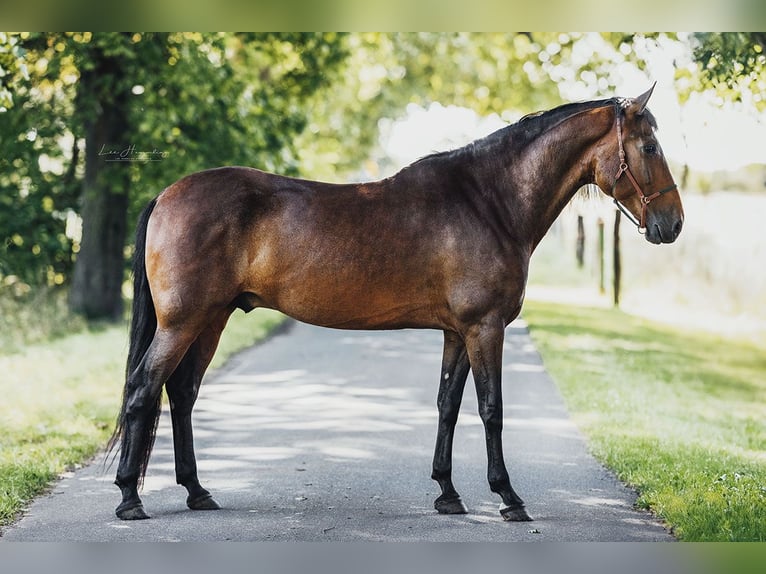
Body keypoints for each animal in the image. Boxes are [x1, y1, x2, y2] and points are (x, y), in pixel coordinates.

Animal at [106, 85, 684, 520]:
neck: (489, 201)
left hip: (211, 321)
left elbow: (447, 405)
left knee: (180, 393)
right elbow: (491, 409)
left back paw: (197, 491)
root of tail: (166, 194)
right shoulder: (485, 328)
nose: (673, 224)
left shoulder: (457, 331)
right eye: (650, 149)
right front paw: (508, 497)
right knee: (143, 388)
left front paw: (447, 493)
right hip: (183, 323)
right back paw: (130, 497)